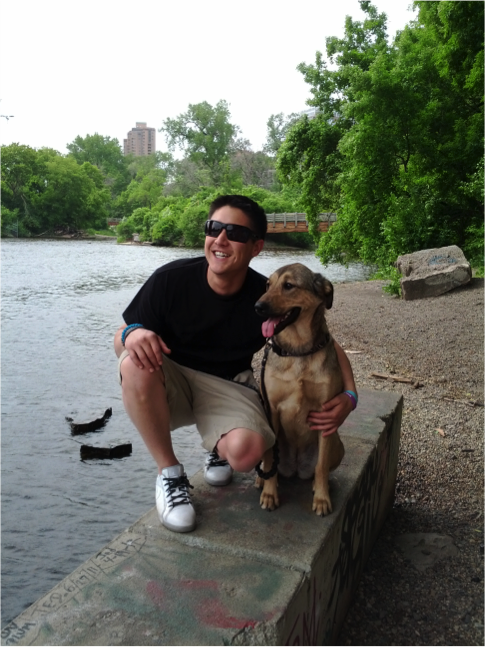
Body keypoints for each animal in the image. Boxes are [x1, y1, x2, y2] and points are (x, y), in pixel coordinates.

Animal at [253, 264, 344, 516]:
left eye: (288, 285)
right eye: (267, 284)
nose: (258, 307)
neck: (298, 351)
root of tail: (295, 467)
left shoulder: (326, 413)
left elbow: (322, 466)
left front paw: (322, 498)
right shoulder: (272, 410)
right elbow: (269, 461)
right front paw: (270, 494)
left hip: (337, 443)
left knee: (321, 467)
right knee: (267, 462)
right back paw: (262, 480)